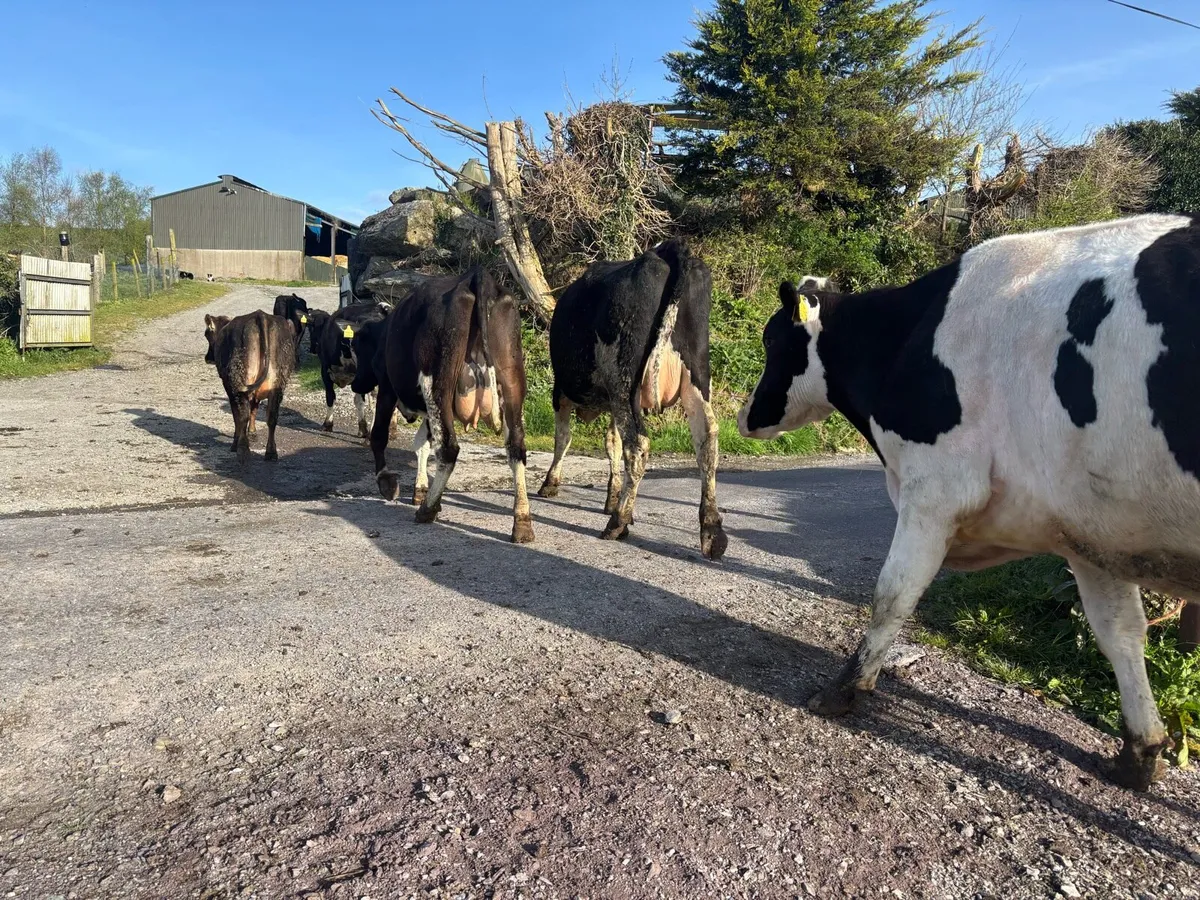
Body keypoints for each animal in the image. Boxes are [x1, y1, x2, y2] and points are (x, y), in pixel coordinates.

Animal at [203, 310, 296, 463]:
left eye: (207, 334)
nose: (208, 357)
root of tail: (261, 315)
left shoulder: (229, 387)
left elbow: (237, 415)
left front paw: (237, 441)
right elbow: (254, 409)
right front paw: (252, 433)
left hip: (238, 381)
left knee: (243, 415)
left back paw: (242, 449)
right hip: (278, 383)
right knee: (272, 416)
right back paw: (271, 452)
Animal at [365, 268, 532, 543]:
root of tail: (476, 276)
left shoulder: (387, 384)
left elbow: (380, 434)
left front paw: (388, 482)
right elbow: (421, 444)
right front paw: (421, 488)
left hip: (437, 380)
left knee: (448, 448)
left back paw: (428, 510)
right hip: (512, 377)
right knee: (516, 447)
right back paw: (522, 522)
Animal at [536, 239, 727, 560]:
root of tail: (665, 252)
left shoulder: (561, 391)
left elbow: (564, 438)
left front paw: (550, 484)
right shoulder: (613, 401)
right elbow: (612, 443)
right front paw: (612, 496)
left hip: (624, 377)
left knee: (638, 444)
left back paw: (618, 522)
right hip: (696, 374)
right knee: (707, 439)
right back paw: (712, 531)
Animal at [737, 214, 1200, 792]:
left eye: (772, 339)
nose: (745, 416)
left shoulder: (936, 489)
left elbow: (892, 594)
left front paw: (844, 690)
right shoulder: (1092, 531)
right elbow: (1120, 632)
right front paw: (1140, 753)